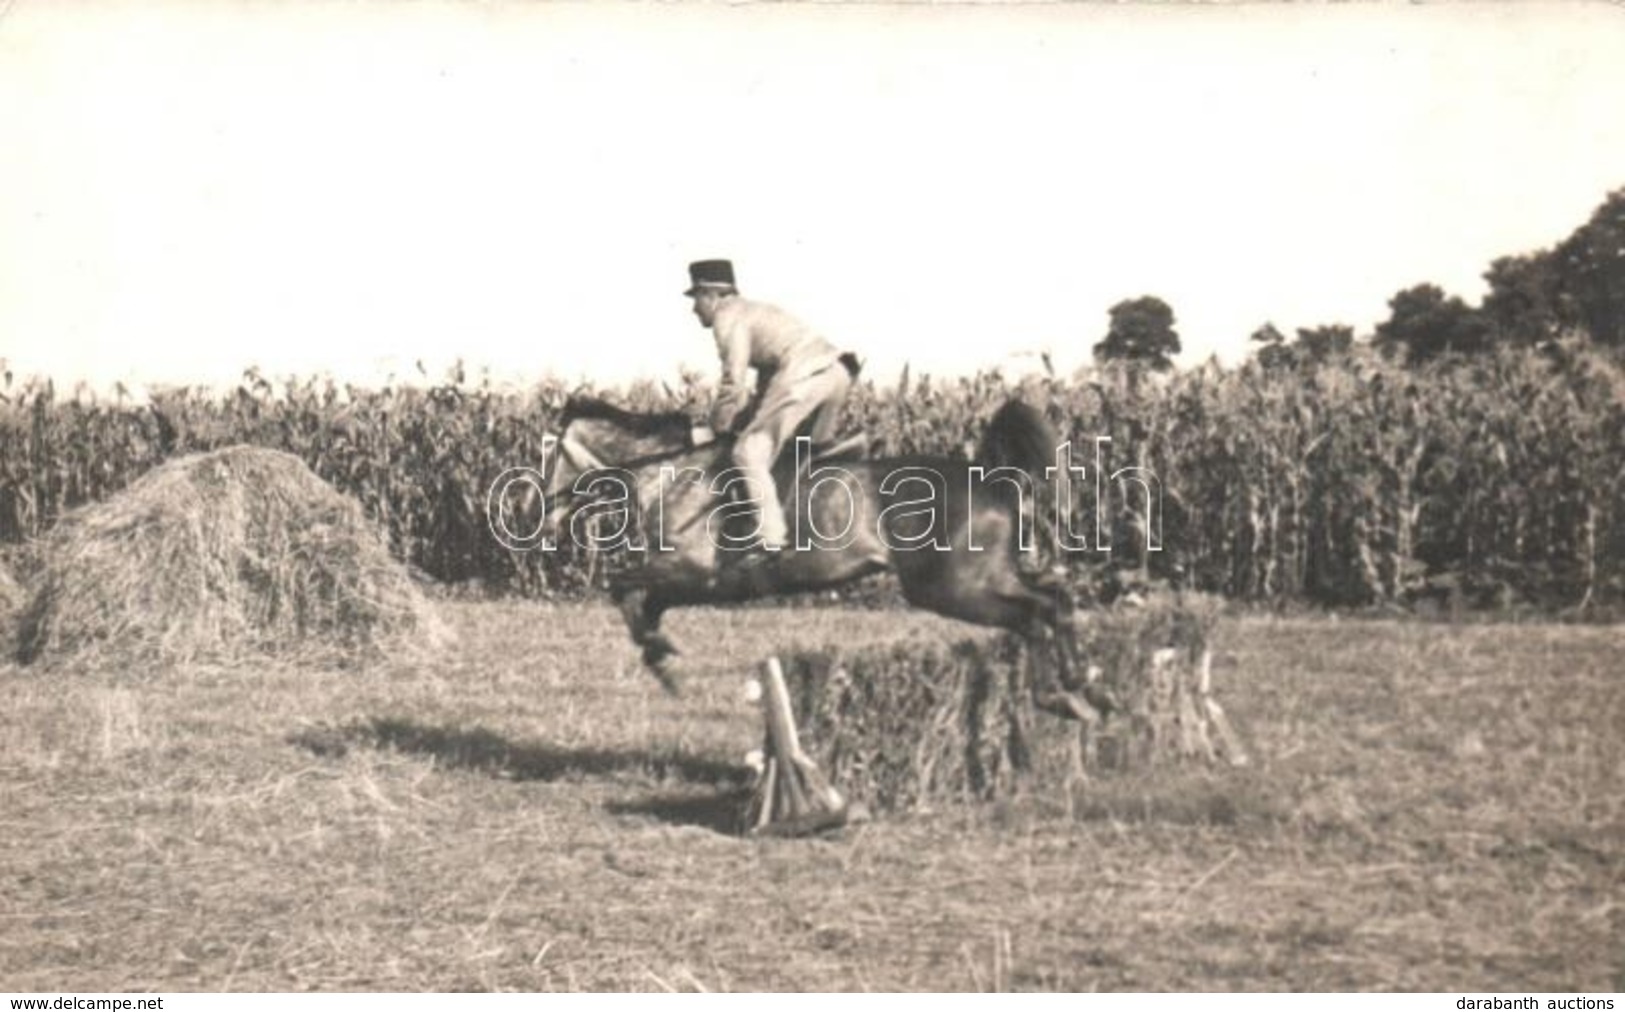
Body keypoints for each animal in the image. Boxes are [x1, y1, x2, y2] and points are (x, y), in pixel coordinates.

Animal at [536, 394, 1105, 721]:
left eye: (551, 454)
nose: (541, 511)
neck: (672, 471)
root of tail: (990, 478)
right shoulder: (687, 580)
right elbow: (644, 602)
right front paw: (662, 654)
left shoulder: (692, 572)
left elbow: (623, 589)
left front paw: (661, 656)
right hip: (987, 577)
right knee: (1055, 600)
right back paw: (1083, 687)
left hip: (950, 588)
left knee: (1033, 615)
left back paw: (1060, 696)